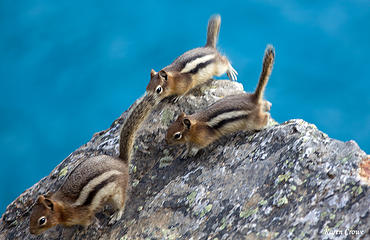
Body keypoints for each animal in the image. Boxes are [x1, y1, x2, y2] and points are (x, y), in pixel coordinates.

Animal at [28, 93, 155, 234]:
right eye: (31, 216)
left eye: (42, 220)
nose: (31, 232)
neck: (63, 207)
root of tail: (121, 162)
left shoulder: (83, 214)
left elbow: (90, 222)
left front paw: (83, 230)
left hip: (117, 192)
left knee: (121, 203)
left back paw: (116, 214)